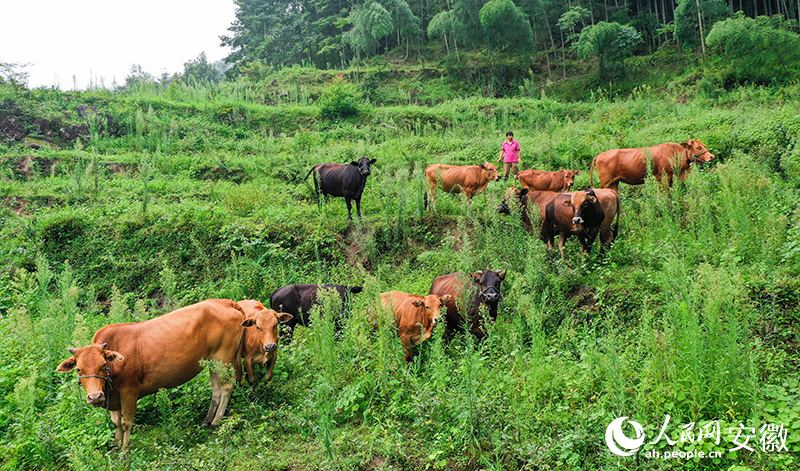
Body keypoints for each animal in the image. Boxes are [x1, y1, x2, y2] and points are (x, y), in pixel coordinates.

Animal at [55, 300, 244, 448]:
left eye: (103, 365)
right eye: (79, 369)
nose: (95, 397)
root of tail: (225, 302)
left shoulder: (130, 391)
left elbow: (126, 423)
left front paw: (125, 450)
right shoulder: (113, 398)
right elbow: (116, 423)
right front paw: (116, 446)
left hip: (223, 357)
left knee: (226, 387)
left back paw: (216, 422)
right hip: (211, 361)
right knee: (216, 389)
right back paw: (207, 421)